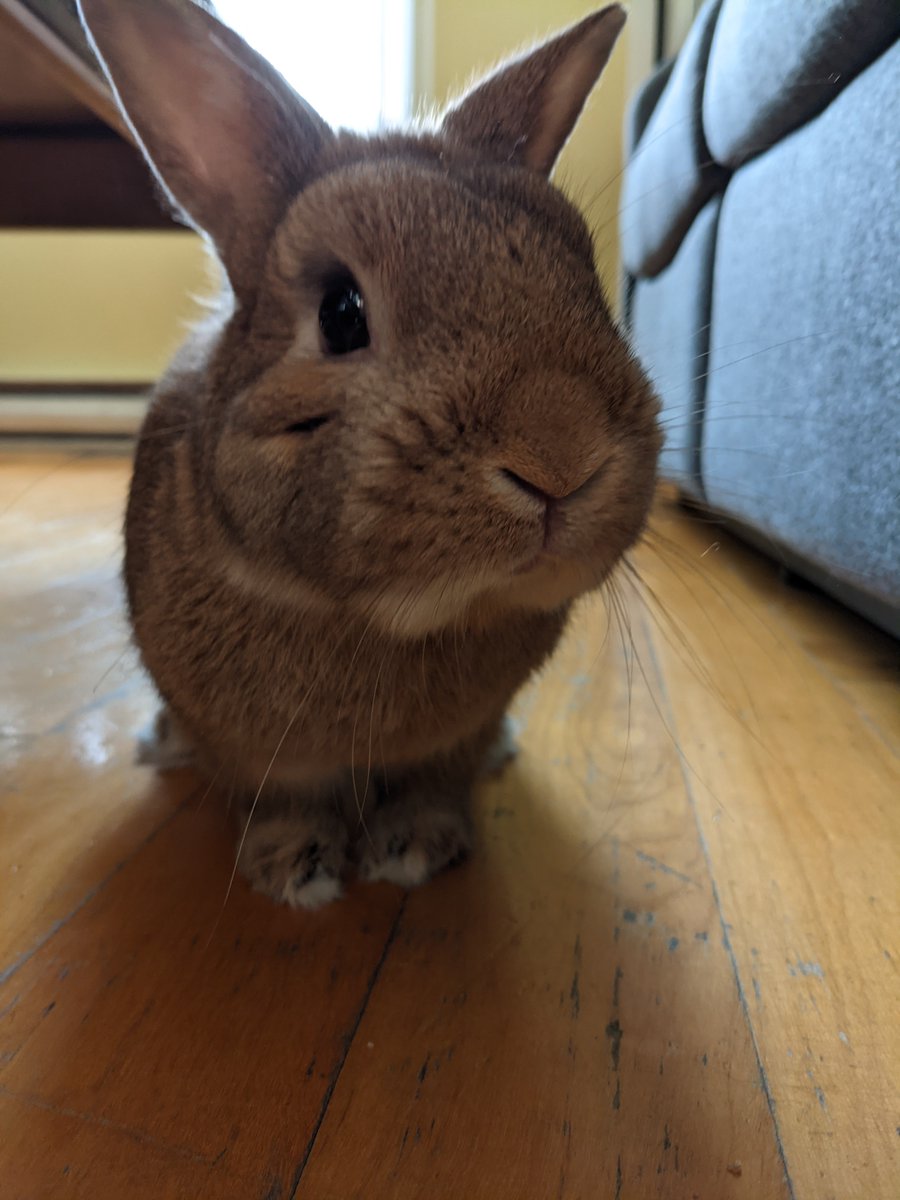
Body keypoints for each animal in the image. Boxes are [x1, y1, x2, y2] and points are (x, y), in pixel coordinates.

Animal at [78, 0, 661, 908]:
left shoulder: (454, 737)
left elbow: (438, 779)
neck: (376, 619)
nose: (563, 459)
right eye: (341, 313)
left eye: (584, 272)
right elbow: (277, 798)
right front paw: (294, 866)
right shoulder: (253, 752)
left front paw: (418, 845)